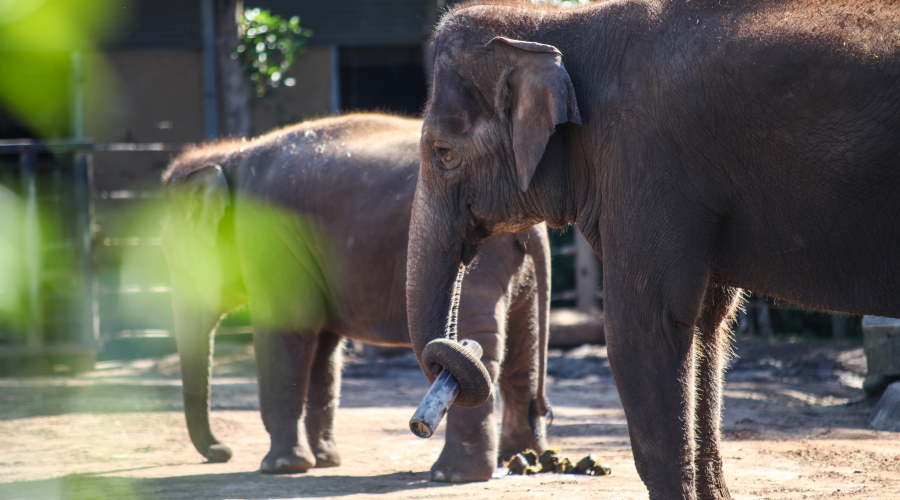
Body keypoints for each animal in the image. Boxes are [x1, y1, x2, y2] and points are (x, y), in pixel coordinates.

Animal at [163, 112, 556, 480]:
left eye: (169, 257)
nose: (222, 451)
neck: (230, 156)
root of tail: (533, 228)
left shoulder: (270, 236)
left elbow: (290, 328)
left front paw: (281, 468)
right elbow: (323, 347)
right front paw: (324, 461)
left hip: (479, 259)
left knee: (481, 345)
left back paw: (452, 475)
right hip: (514, 266)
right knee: (524, 347)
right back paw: (524, 461)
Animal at [404, 0, 900, 500]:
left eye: (443, 152)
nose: (419, 426)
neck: (560, 22)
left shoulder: (646, 159)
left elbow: (642, 327)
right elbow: (704, 323)